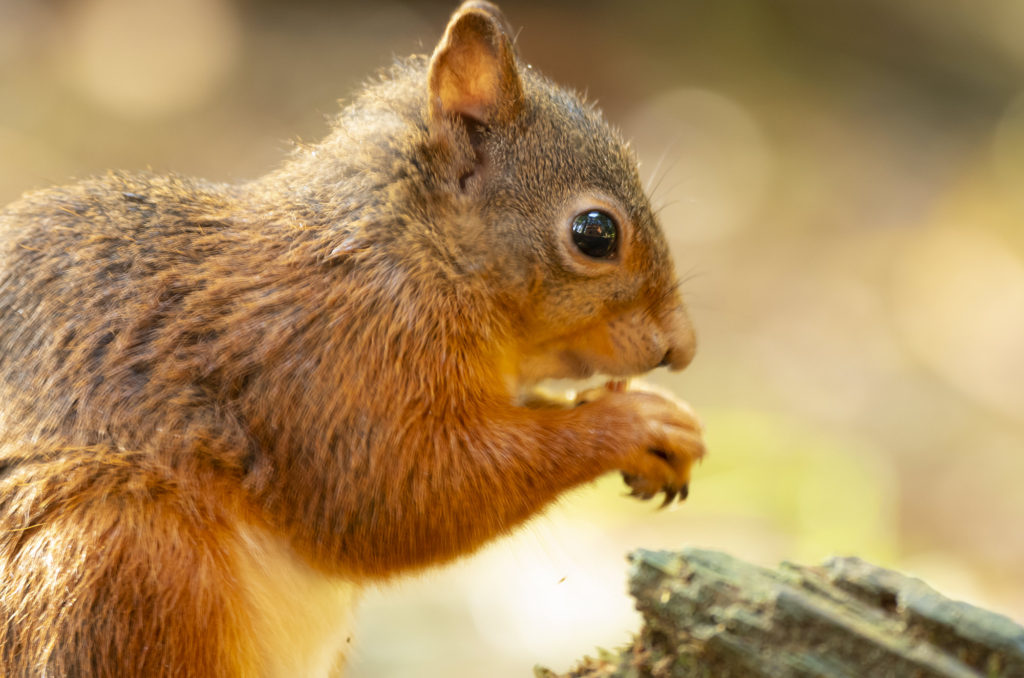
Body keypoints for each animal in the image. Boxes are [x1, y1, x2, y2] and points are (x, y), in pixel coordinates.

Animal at [0, 2, 704, 675]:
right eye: (595, 234)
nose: (684, 349)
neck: (413, 252)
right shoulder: (325, 363)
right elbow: (399, 492)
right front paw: (638, 422)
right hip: (117, 555)